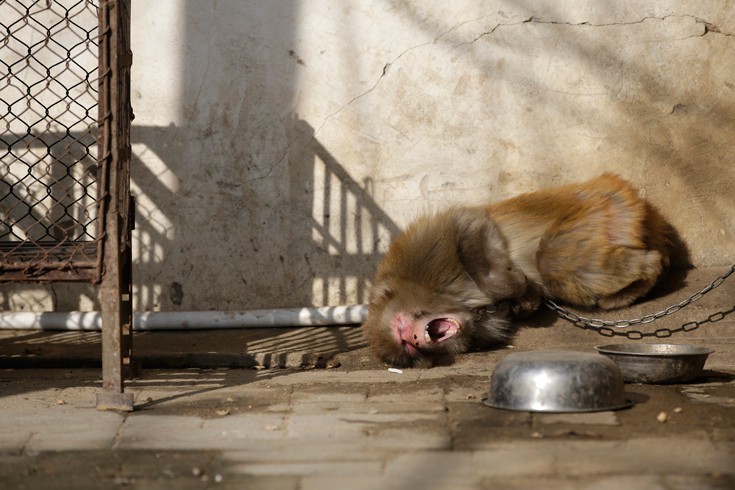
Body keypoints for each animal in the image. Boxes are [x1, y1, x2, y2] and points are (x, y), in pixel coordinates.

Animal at [362, 174, 680, 366]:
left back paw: (643, 275)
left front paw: (516, 286)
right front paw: (525, 302)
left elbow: (470, 224)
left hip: (599, 212)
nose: (415, 338)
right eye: (407, 346)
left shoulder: (423, 250)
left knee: (552, 260)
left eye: (402, 329)